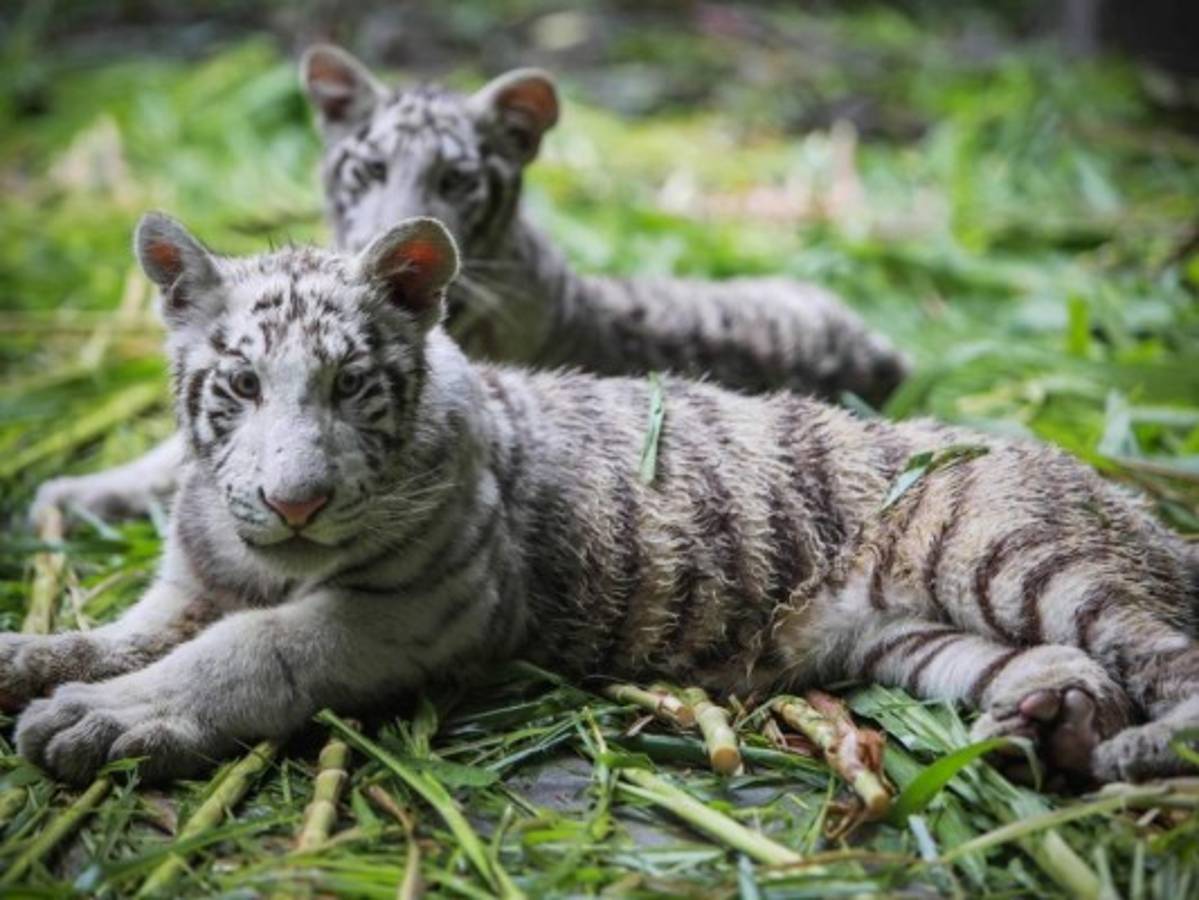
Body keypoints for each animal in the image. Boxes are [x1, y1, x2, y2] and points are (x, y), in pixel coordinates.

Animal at [3, 214, 1195, 787]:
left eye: (349, 385)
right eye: (243, 386)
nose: (294, 503)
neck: (259, 555)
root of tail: (1116, 491)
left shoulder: (413, 611)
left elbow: (252, 651)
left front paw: (108, 719)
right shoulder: (185, 588)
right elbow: (117, 634)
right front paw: (33, 657)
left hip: (1011, 556)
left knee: (1160, 652)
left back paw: (1130, 754)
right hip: (914, 641)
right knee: (1077, 667)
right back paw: (1047, 725)